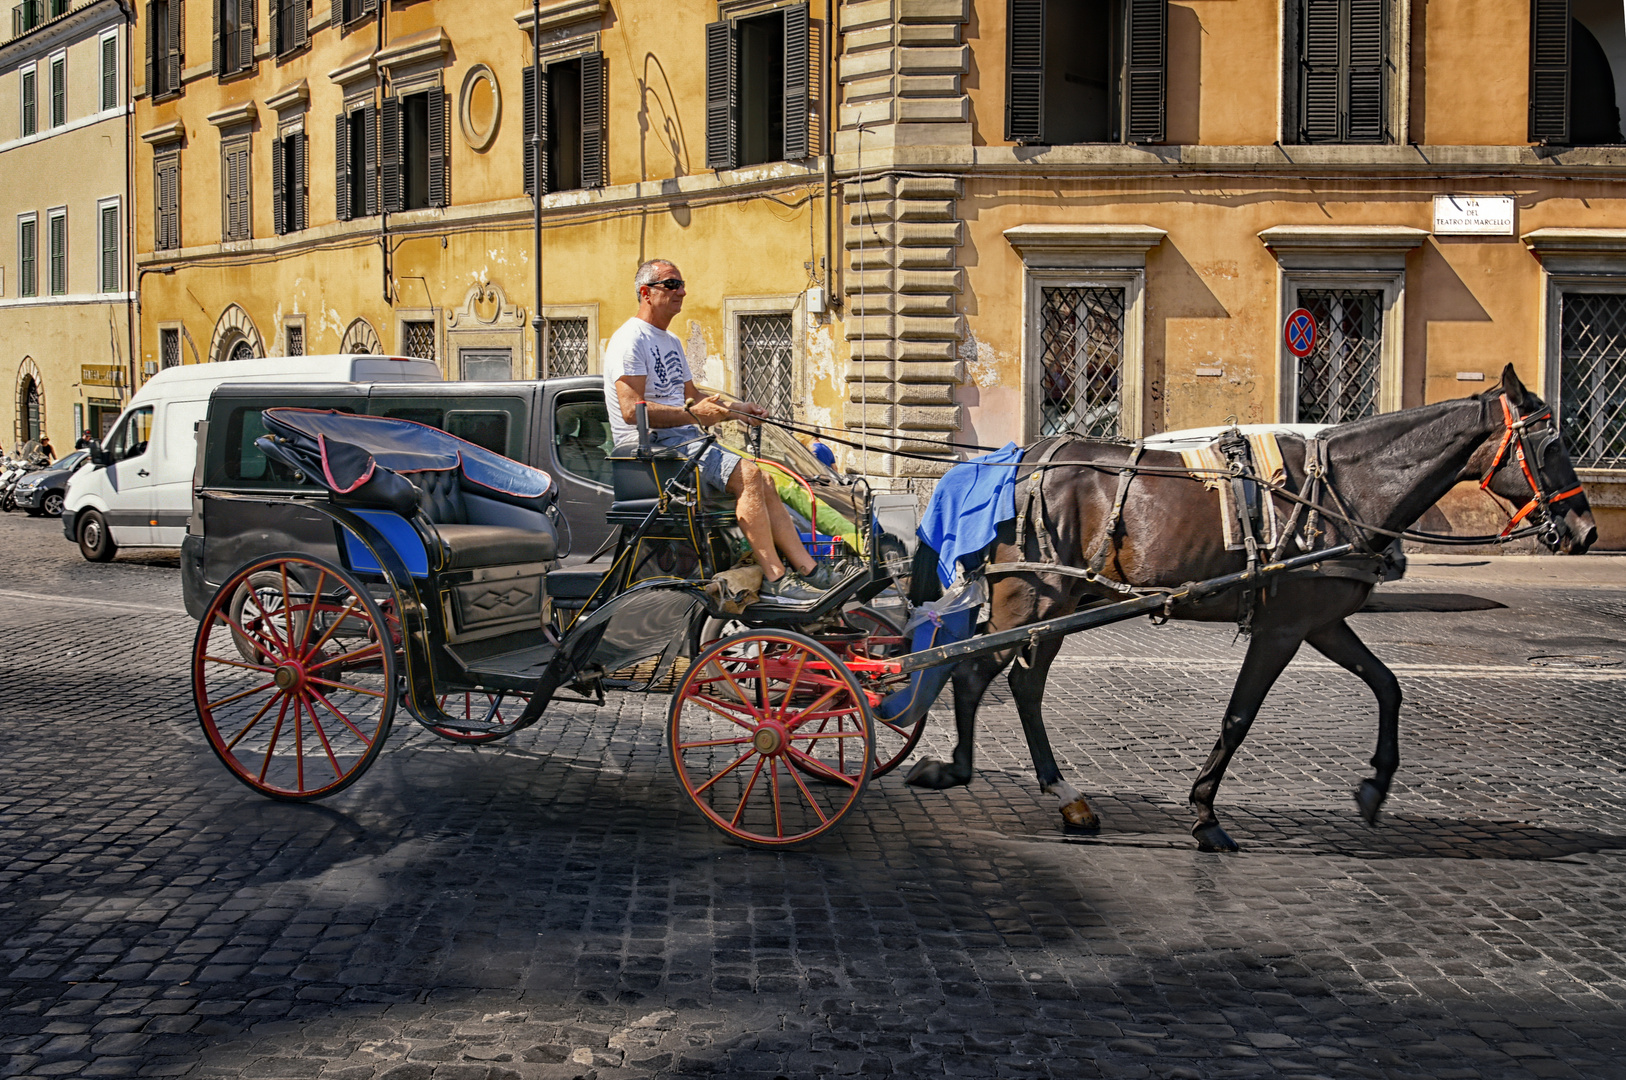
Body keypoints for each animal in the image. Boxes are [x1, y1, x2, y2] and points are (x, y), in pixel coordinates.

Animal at [910, 364, 1593, 852]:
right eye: (1553, 442)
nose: (1583, 530)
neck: (1342, 491)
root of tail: (1014, 462)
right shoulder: (1282, 628)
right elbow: (1239, 717)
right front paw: (1205, 814)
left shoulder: (1322, 622)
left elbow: (1387, 685)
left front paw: (1375, 787)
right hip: (1032, 596)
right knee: (972, 672)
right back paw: (957, 770)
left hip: (1061, 602)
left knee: (1022, 686)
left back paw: (1066, 796)